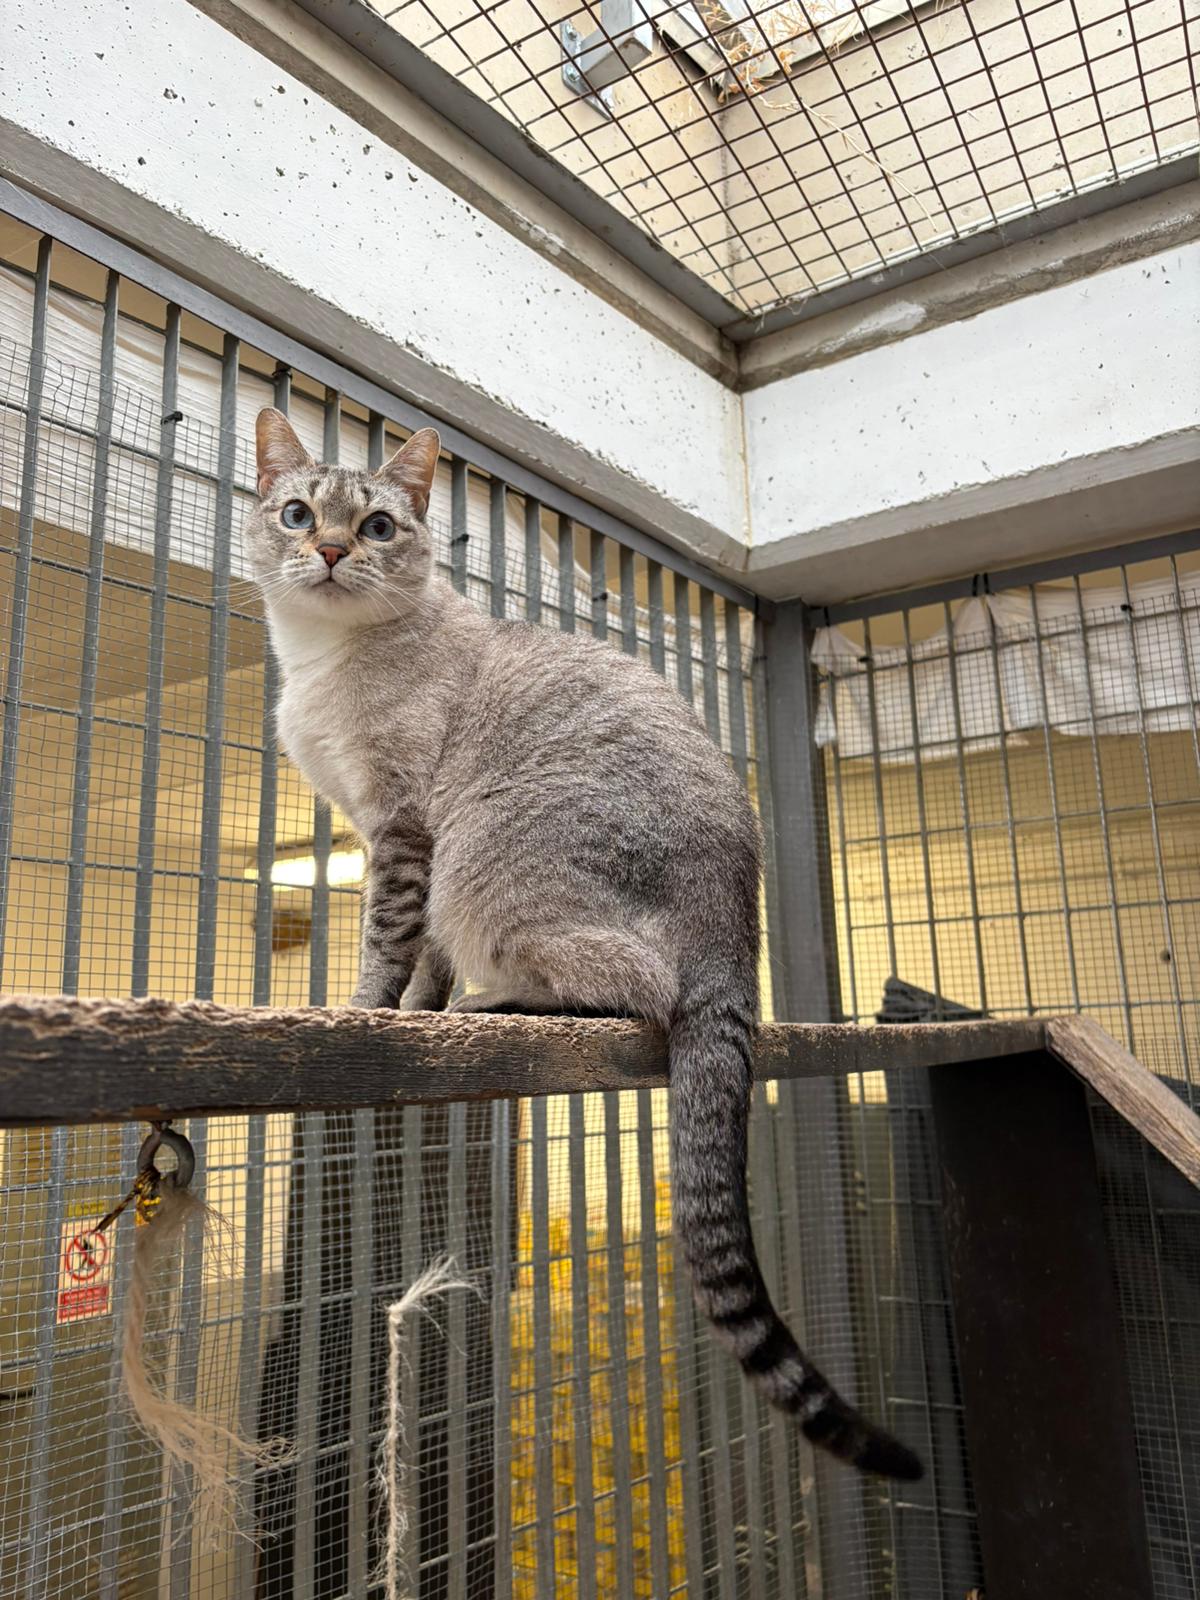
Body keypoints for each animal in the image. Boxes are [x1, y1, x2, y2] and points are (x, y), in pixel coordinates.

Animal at [245, 407, 921, 1481]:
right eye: (298, 512)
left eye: (380, 525)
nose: (333, 550)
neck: (324, 657)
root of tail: (737, 920)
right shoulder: (395, 838)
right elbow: (423, 962)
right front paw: (420, 1019)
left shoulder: (406, 829)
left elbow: (388, 945)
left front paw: (364, 1016)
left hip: (488, 848)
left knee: (638, 991)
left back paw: (505, 1003)